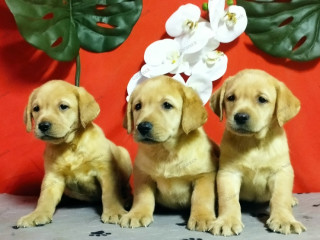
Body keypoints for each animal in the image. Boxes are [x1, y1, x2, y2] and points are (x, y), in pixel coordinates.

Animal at [16, 80, 132, 227]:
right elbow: (44, 198)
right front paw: (37, 214)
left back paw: (126, 200)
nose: (43, 125)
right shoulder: (53, 177)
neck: (70, 145)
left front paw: (114, 211)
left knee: (126, 188)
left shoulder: (105, 171)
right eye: (36, 109)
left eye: (63, 106)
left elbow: (109, 194)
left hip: (124, 157)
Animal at [120, 75, 220, 232]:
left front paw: (202, 217)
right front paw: (137, 214)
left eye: (167, 105)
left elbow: (201, 197)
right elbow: (143, 197)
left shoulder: (204, 175)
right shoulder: (143, 175)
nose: (142, 127)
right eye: (138, 106)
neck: (166, 152)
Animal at [209, 68, 306, 235]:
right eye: (231, 98)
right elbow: (229, 199)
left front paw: (284, 220)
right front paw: (227, 220)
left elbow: (280, 197)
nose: (240, 116)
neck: (253, 142)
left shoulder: (281, 172)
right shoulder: (228, 173)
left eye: (262, 99)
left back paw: (292, 200)